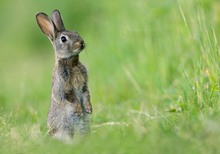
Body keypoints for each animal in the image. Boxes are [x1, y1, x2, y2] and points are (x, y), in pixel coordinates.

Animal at [36, 9, 92, 141]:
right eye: (63, 39)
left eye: (76, 32)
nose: (82, 43)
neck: (72, 63)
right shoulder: (64, 86)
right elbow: (71, 98)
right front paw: (79, 110)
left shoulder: (84, 85)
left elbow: (86, 94)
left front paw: (88, 108)